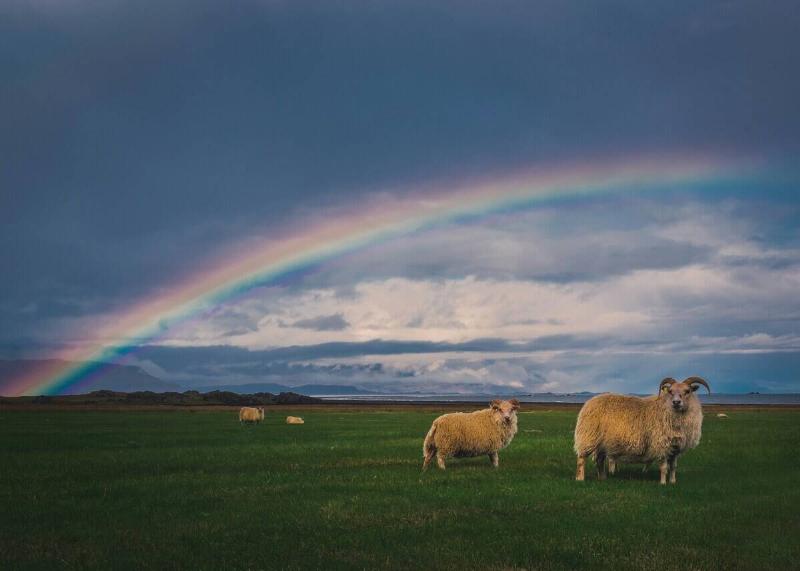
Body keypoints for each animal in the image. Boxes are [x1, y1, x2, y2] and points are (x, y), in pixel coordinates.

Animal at [572, 378, 708, 484]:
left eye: (687, 391)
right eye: (670, 391)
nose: (676, 402)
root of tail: (589, 402)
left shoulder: (675, 447)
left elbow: (673, 467)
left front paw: (673, 482)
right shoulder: (662, 445)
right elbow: (664, 467)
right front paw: (663, 483)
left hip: (602, 443)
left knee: (600, 460)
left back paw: (602, 478)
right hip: (589, 436)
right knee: (581, 459)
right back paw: (580, 478)